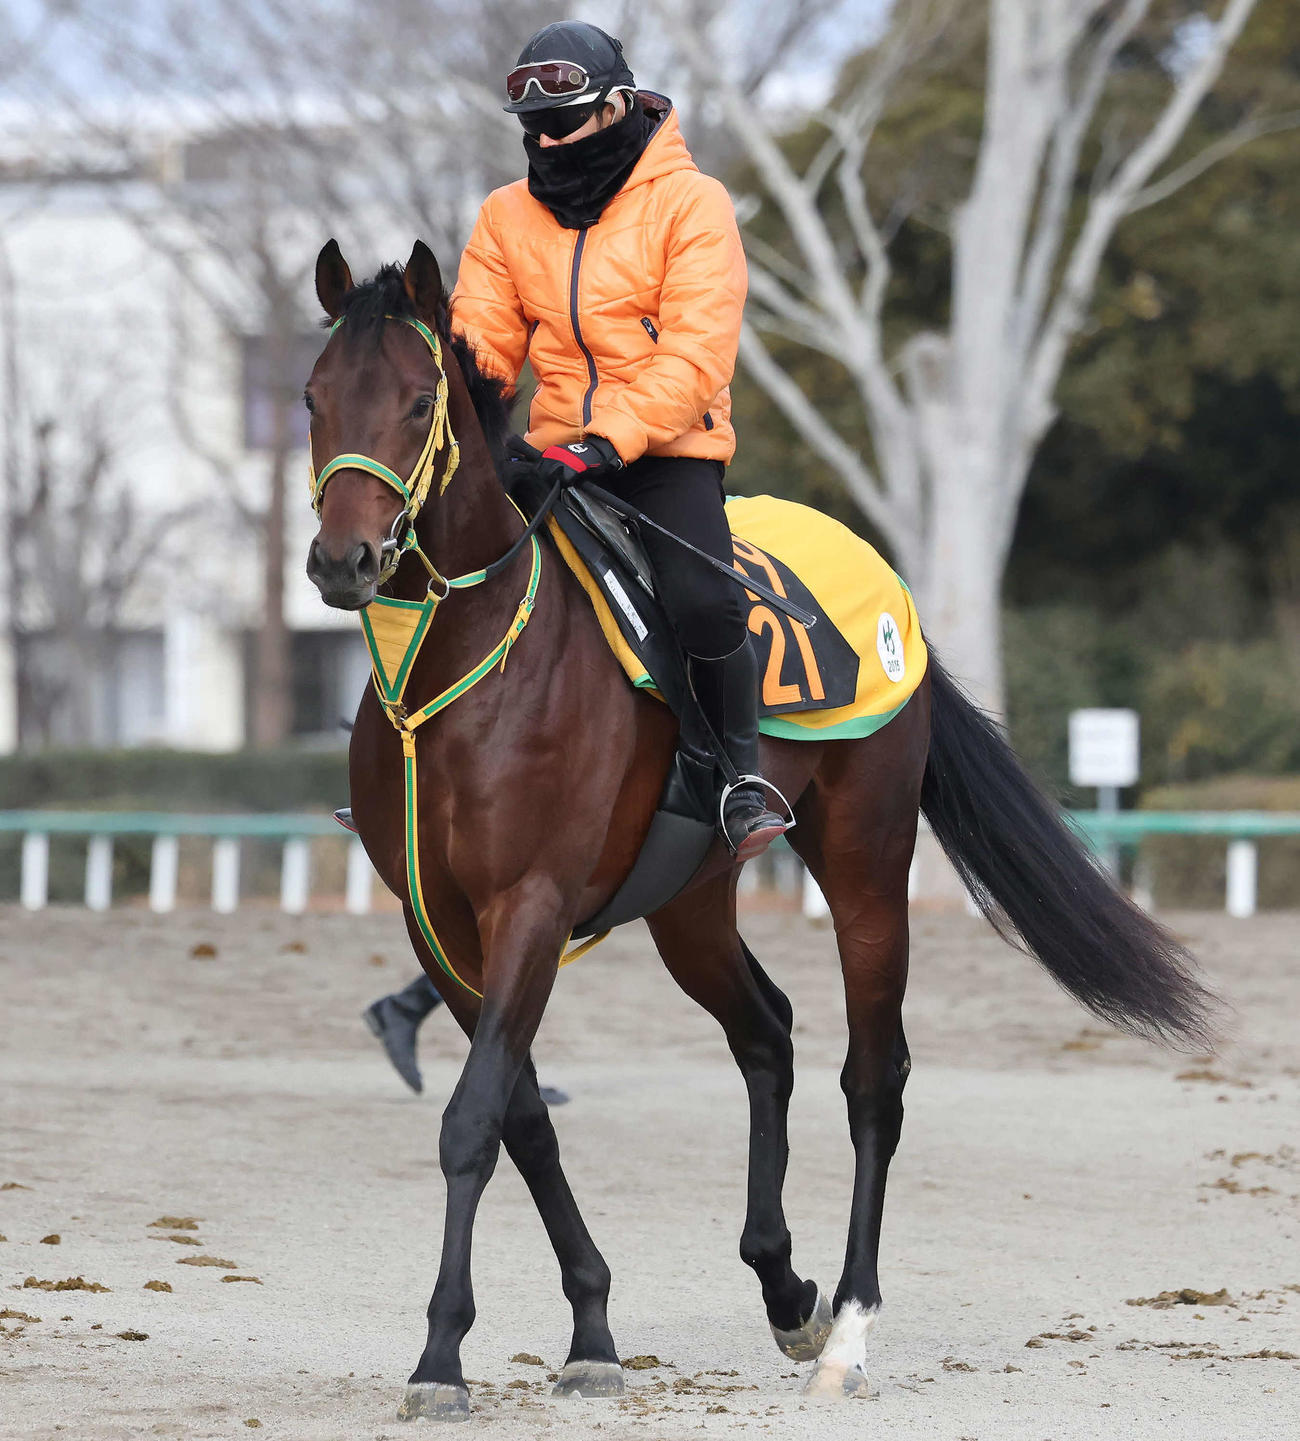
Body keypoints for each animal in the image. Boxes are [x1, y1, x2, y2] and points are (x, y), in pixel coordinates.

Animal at [304, 239, 1213, 1419]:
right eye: (312, 397)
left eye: (419, 403)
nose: (345, 561)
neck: (461, 668)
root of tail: (895, 598)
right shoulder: (441, 924)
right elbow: (520, 1116)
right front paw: (591, 1326)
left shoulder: (531, 905)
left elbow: (471, 1120)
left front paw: (441, 1354)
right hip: (688, 902)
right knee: (766, 1031)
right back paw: (785, 1287)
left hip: (864, 862)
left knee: (873, 1079)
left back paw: (849, 1328)